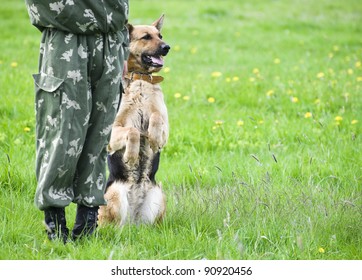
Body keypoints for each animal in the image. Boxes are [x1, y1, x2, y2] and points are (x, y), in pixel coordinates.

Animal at [98, 14, 170, 225]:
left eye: (160, 36)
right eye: (146, 37)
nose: (167, 47)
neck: (140, 79)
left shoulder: (166, 128)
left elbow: (155, 117)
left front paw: (153, 137)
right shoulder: (111, 132)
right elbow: (133, 131)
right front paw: (131, 154)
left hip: (158, 194)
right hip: (114, 194)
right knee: (113, 225)